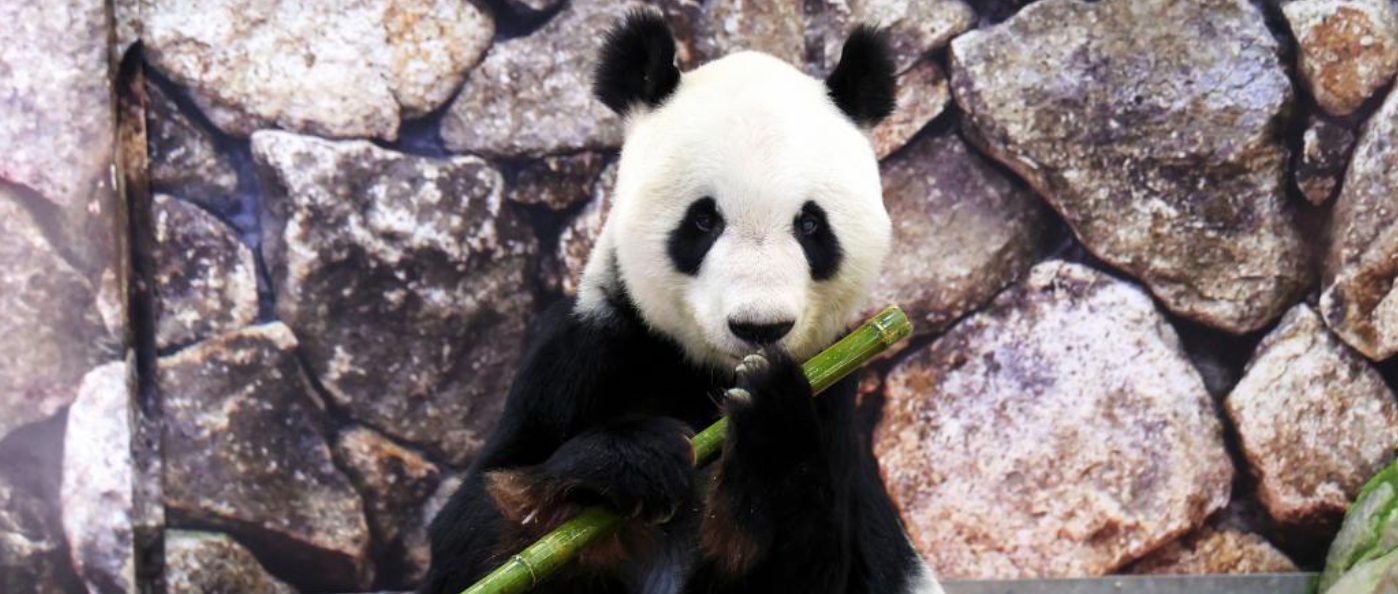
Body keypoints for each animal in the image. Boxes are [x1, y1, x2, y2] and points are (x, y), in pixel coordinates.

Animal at [423, 10, 941, 594]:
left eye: (811, 226)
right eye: (703, 220)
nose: (759, 327)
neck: (704, 381)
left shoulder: (833, 392)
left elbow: (807, 565)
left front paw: (771, 432)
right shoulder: (583, 355)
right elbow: (476, 536)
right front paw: (630, 459)